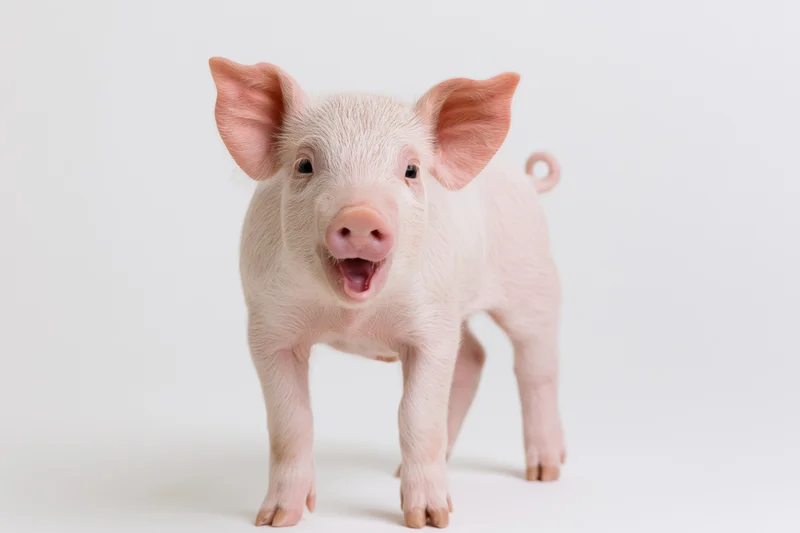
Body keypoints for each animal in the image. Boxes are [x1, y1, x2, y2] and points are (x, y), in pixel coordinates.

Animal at [209, 57, 565, 529]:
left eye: (411, 170)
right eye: (304, 165)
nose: (360, 214)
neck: (353, 318)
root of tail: (525, 180)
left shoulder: (431, 325)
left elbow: (417, 416)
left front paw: (430, 519)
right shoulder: (268, 325)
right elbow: (290, 423)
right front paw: (276, 519)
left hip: (533, 280)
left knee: (535, 366)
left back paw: (544, 472)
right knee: (473, 357)